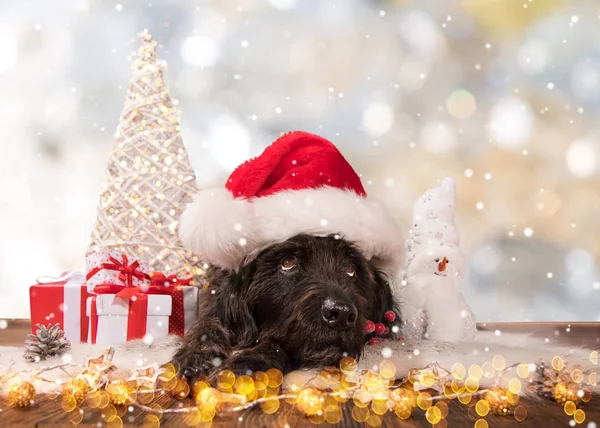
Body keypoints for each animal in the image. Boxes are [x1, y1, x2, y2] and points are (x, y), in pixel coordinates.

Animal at [173, 234, 398, 382]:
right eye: (288, 262)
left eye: (351, 269)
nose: (341, 313)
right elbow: (206, 324)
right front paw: (196, 355)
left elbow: (279, 346)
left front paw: (248, 363)